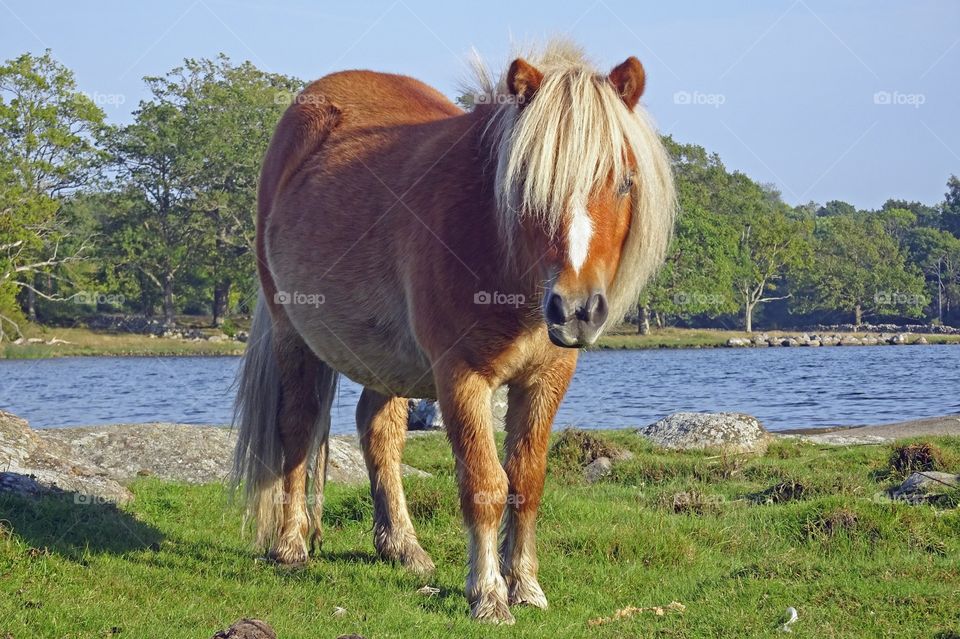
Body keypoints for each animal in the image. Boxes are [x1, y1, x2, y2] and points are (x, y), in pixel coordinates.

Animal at [231, 41, 676, 624]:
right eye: (528, 183)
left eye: (624, 180)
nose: (576, 310)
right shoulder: (460, 378)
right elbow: (485, 483)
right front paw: (488, 595)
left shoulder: (547, 378)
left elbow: (526, 480)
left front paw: (525, 585)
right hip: (294, 337)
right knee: (298, 428)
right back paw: (291, 546)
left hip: (387, 358)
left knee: (378, 431)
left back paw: (403, 548)